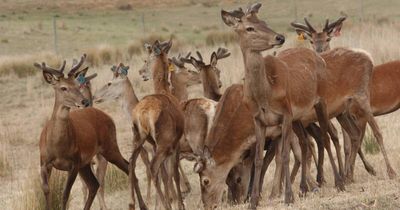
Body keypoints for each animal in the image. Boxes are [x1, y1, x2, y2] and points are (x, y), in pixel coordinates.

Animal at [35, 54, 128, 210]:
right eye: (63, 88)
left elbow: (65, 194)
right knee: (94, 184)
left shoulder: (74, 163)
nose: (84, 101)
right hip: (86, 163)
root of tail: (108, 117)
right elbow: (47, 192)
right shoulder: (44, 162)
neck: (57, 147)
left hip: (109, 146)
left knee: (127, 166)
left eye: (77, 85)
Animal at [290, 17, 396, 182]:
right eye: (311, 41)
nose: (319, 51)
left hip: (361, 97)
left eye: (328, 38)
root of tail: (368, 57)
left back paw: (389, 171)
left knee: (376, 132)